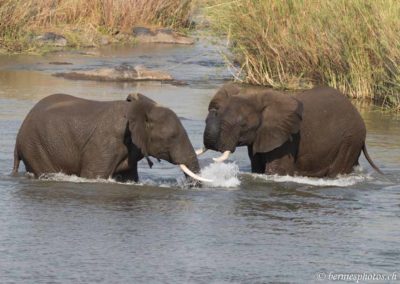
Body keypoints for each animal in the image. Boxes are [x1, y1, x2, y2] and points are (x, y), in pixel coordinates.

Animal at [199, 82, 382, 176]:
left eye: (243, 125)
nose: (213, 110)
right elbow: (257, 167)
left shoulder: (287, 140)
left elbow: (276, 170)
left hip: (350, 140)